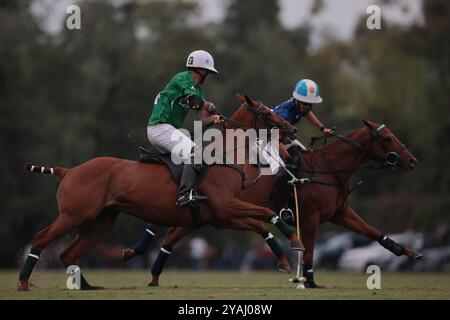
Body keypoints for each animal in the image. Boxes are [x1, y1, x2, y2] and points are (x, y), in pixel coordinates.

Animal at [16, 94, 302, 290]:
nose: (293, 129)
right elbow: (265, 214)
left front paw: (284, 259)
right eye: (267, 112)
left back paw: (86, 286)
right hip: (73, 215)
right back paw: (23, 282)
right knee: (41, 239)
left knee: (68, 254)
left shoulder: (221, 215)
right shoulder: (225, 206)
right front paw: (294, 241)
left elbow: (260, 224)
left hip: (100, 223)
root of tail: (70, 170)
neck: (224, 157)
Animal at [127, 120, 426, 288]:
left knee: (172, 235)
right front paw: (310, 281)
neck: (327, 170)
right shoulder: (310, 217)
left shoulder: (340, 213)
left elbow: (374, 233)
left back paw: (150, 272)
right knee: (169, 232)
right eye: (386, 138)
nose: (412, 160)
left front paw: (410, 252)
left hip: (205, 216)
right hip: (215, 214)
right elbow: (309, 250)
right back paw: (142, 259)